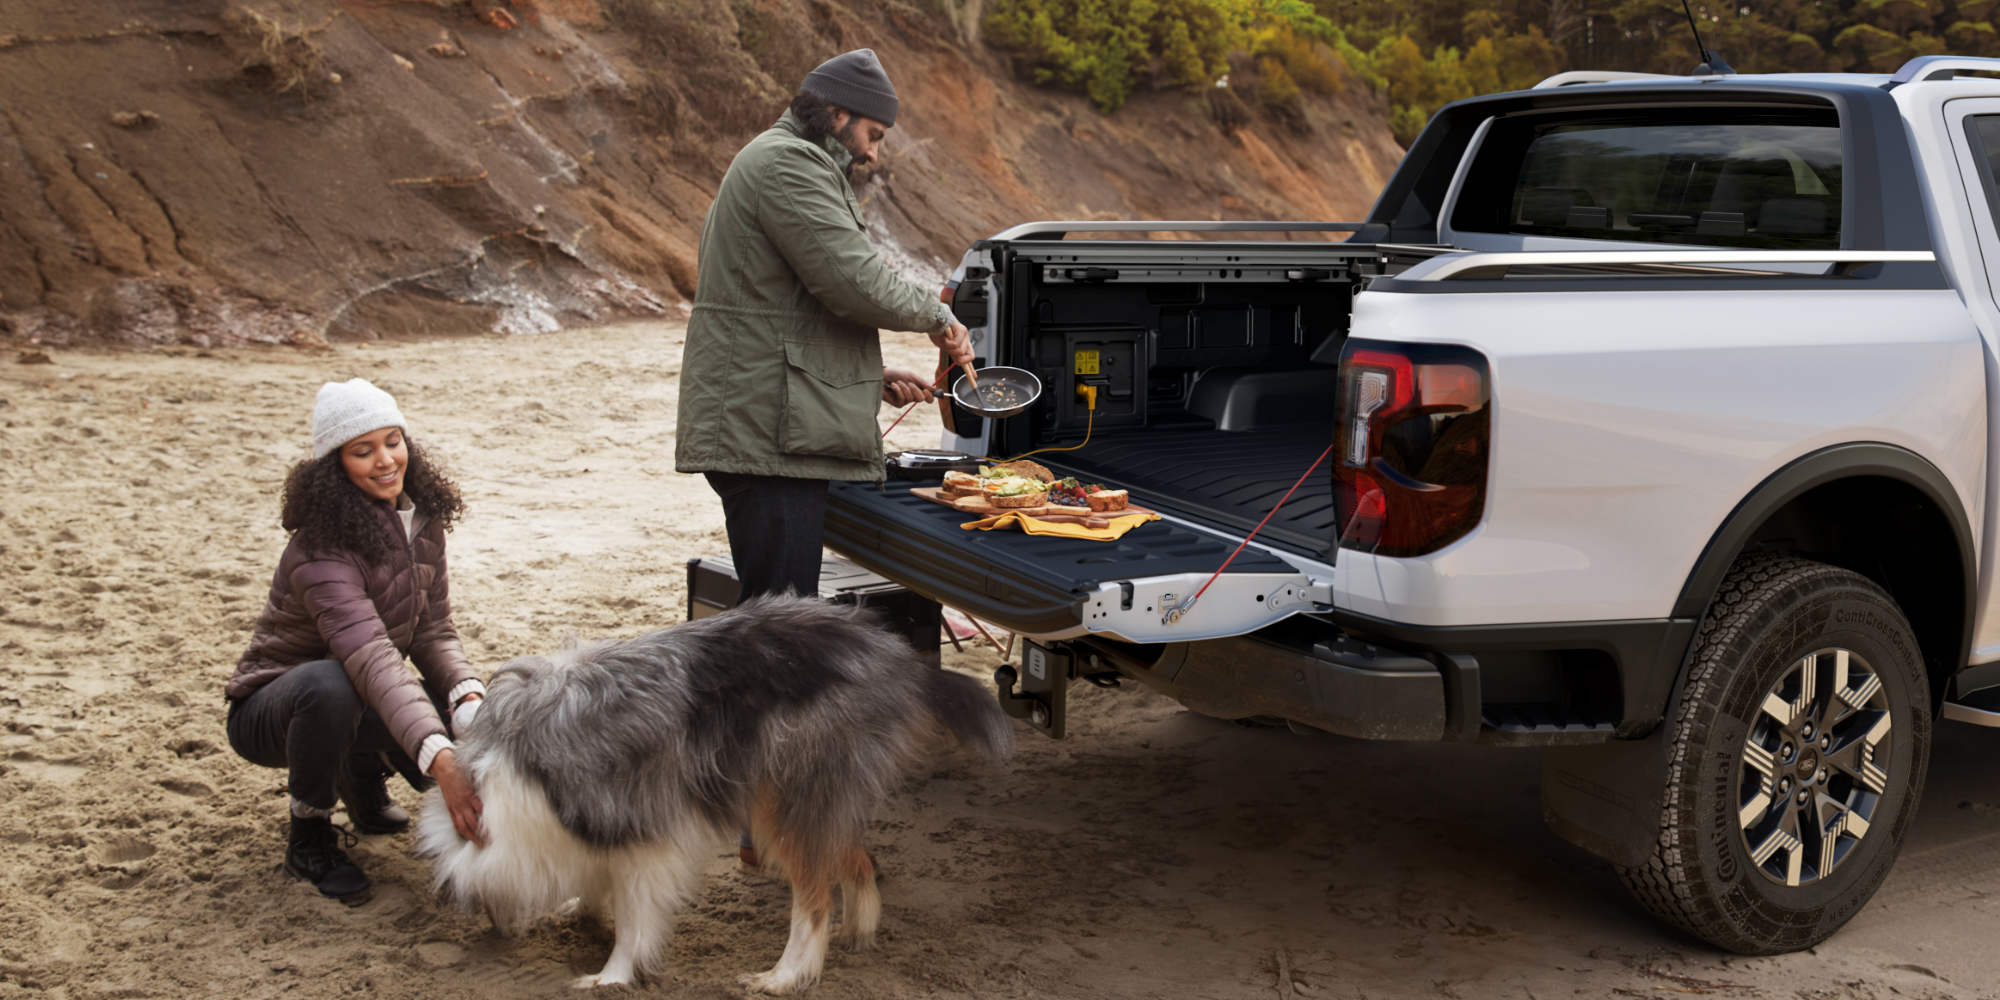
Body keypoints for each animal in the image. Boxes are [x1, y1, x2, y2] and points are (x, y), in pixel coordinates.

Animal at [418, 592, 1016, 992]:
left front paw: (609, 976)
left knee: (814, 898)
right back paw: (857, 930)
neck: (514, 783)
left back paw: (784, 975)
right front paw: (582, 911)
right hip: (810, 797)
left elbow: (633, 920)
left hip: (786, 802)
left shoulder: (642, 837)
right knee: (855, 859)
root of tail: (900, 656)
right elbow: (597, 882)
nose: (497, 935)